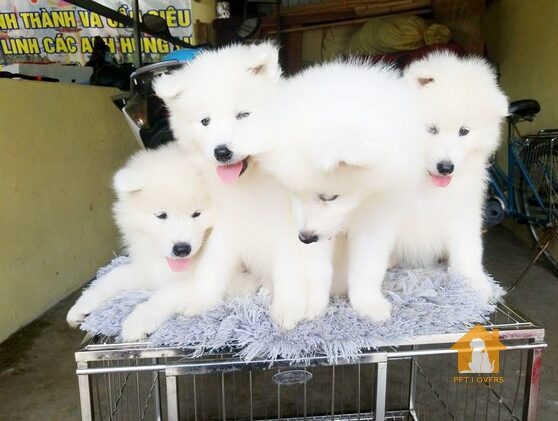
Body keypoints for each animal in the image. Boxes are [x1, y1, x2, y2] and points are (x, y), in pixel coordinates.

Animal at [153, 42, 332, 326]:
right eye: (205, 121)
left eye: (243, 115)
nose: (222, 152)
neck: (250, 184)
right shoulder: (227, 223)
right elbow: (212, 266)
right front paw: (200, 300)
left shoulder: (288, 229)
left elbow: (288, 270)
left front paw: (288, 309)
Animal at [234, 60, 426, 320]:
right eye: (292, 193)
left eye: (329, 197)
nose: (304, 238)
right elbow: (316, 271)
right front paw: (314, 308)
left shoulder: (378, 214)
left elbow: (368, 266)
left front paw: (369, 305)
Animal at [394, 51, 512, 298]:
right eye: (431, 129)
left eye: (464, 131)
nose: (446, 168)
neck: (424, 182)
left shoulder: (463, 209)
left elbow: (468, 248)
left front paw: (475, 283)